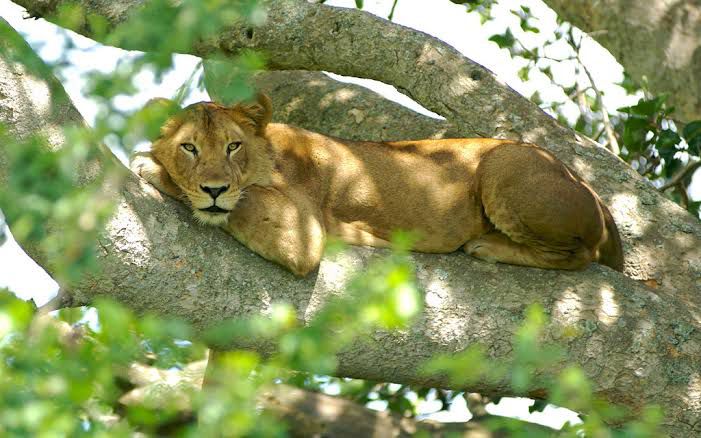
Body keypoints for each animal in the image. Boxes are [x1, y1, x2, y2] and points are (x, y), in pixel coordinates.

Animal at [130, 94, 624, 276]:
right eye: (190, 148)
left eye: (233, 146)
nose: (214, 188)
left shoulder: (301, 233)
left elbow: (241, 206)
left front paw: (150, 166)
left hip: (504, 164)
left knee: (578, 255)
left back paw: (488, 246)